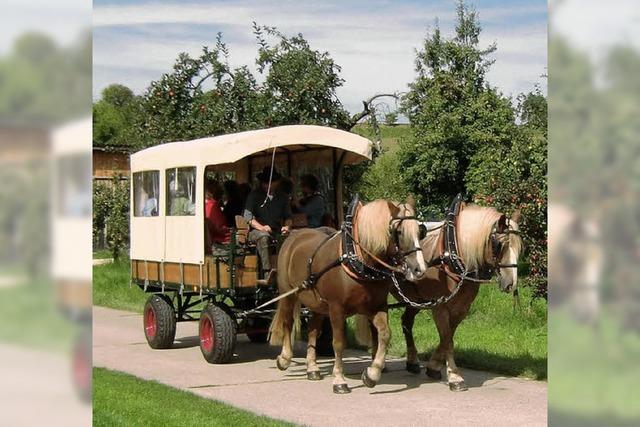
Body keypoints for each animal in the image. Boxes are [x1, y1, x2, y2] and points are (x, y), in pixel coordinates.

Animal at [268, 197, 428, 394]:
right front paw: (339, 380)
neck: (357, 257)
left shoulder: (376, 306)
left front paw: (372, 374)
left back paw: (312, 368)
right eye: (398, 231)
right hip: (288, 293)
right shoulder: (336, 308)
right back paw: (284, 358)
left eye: (420, 232)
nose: (419, 269)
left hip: (318, 304)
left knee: (313, 330)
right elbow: (338, 343)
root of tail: (294, 235)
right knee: (287, 322)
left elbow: (384, 334)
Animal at [388, 203, 524, 392]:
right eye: (499, 245)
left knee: (406, 322)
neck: (453, 255)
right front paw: (455, 377)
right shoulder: (439, 306)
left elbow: (448, 337)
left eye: (520, 247)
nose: (511, 283)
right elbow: (447, 340)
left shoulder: (462, 308)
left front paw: (433, 367)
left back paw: (412, 362)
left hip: (416, 299)